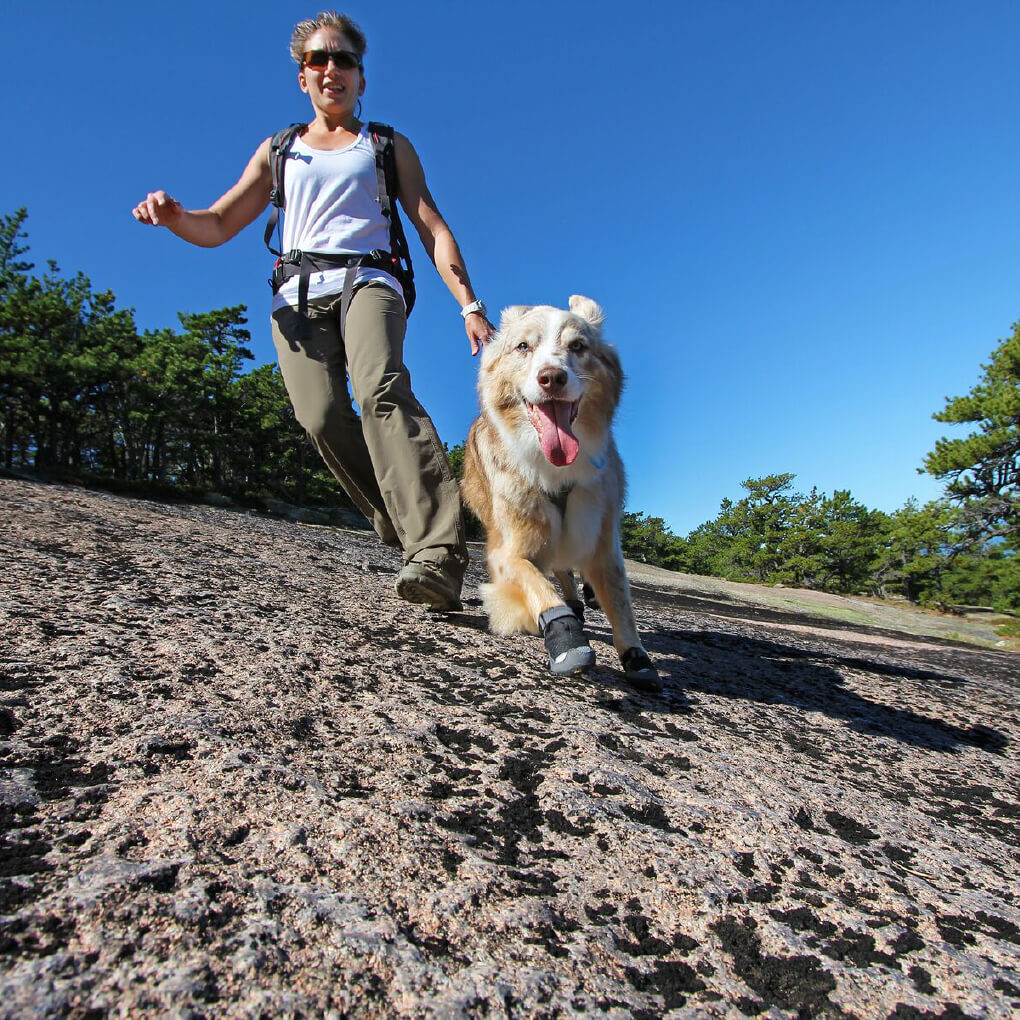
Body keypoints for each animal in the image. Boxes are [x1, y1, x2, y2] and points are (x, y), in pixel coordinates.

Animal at [463, 295, 660, 693]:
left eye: (578, 347)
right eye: (523, 346)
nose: (552, 377)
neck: (554, 467)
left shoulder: (603, 539)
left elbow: (620, 602)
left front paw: (636, 655)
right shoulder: (508, 550)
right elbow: (537, 583)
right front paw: (565, 636)